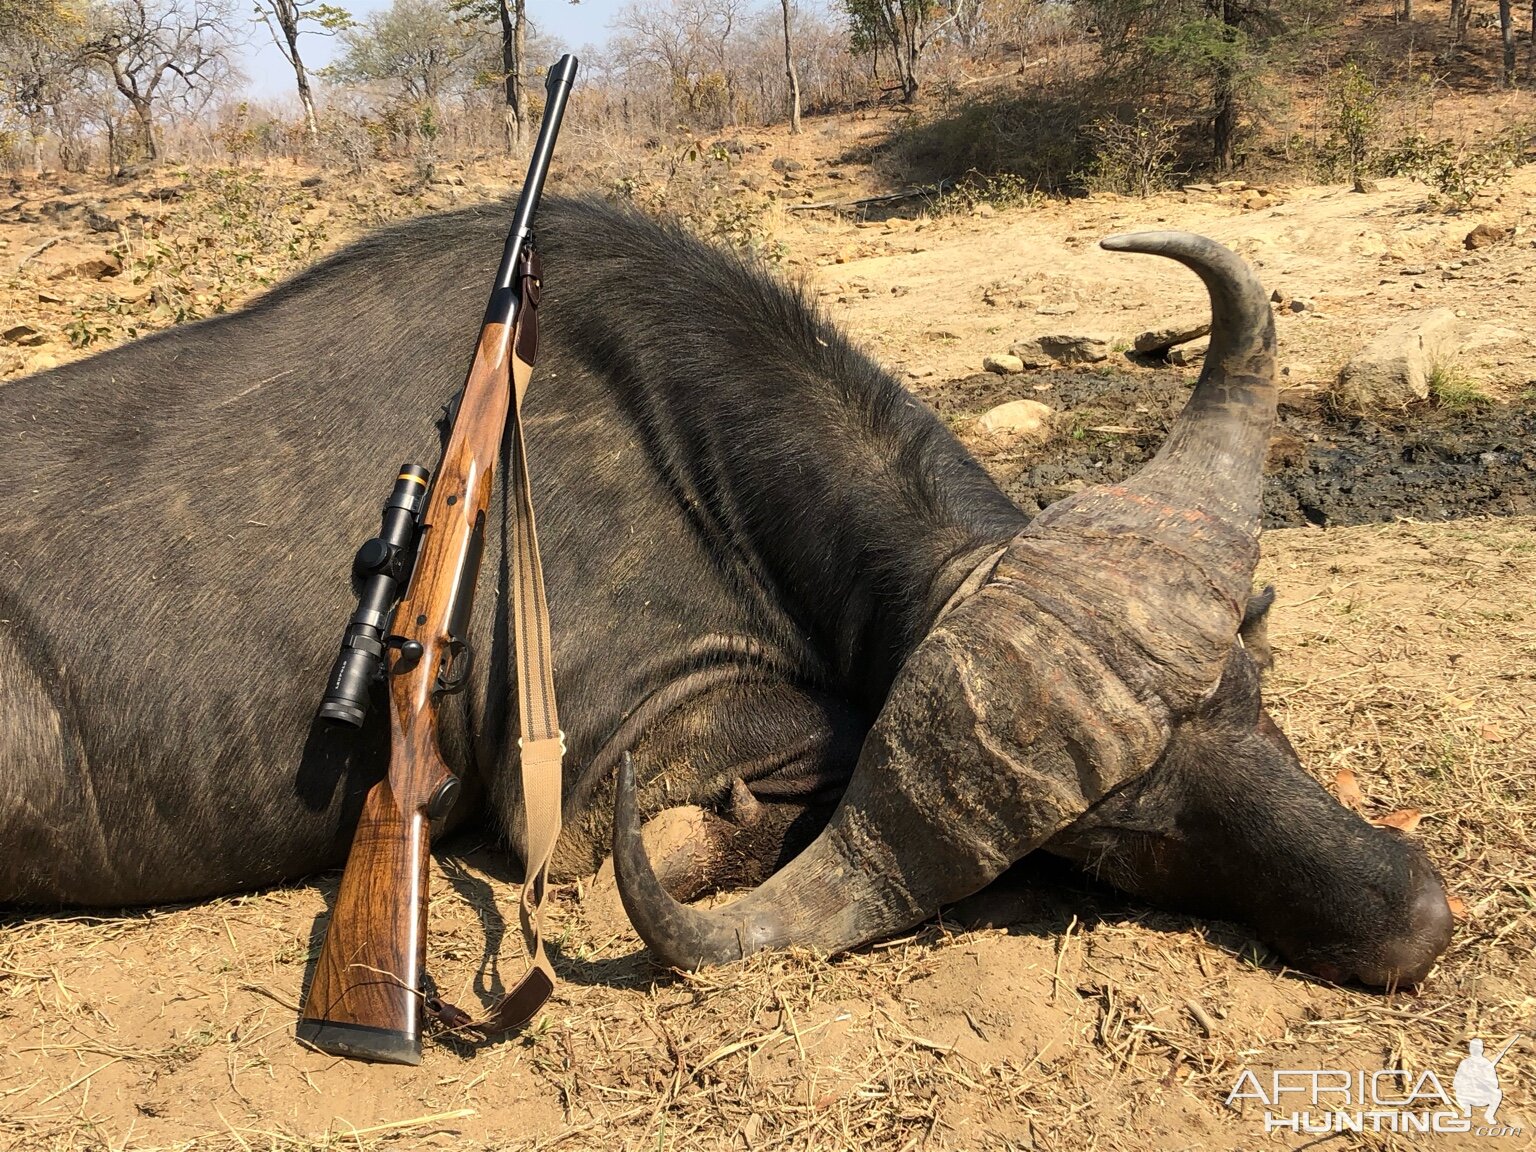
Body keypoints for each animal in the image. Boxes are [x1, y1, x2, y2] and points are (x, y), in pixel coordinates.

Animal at [0, 194, 1449, 989]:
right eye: (1117, 844)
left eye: (1248, 702)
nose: (1414, 913)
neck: (675, 437)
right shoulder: (597, 770)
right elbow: (810, 744)